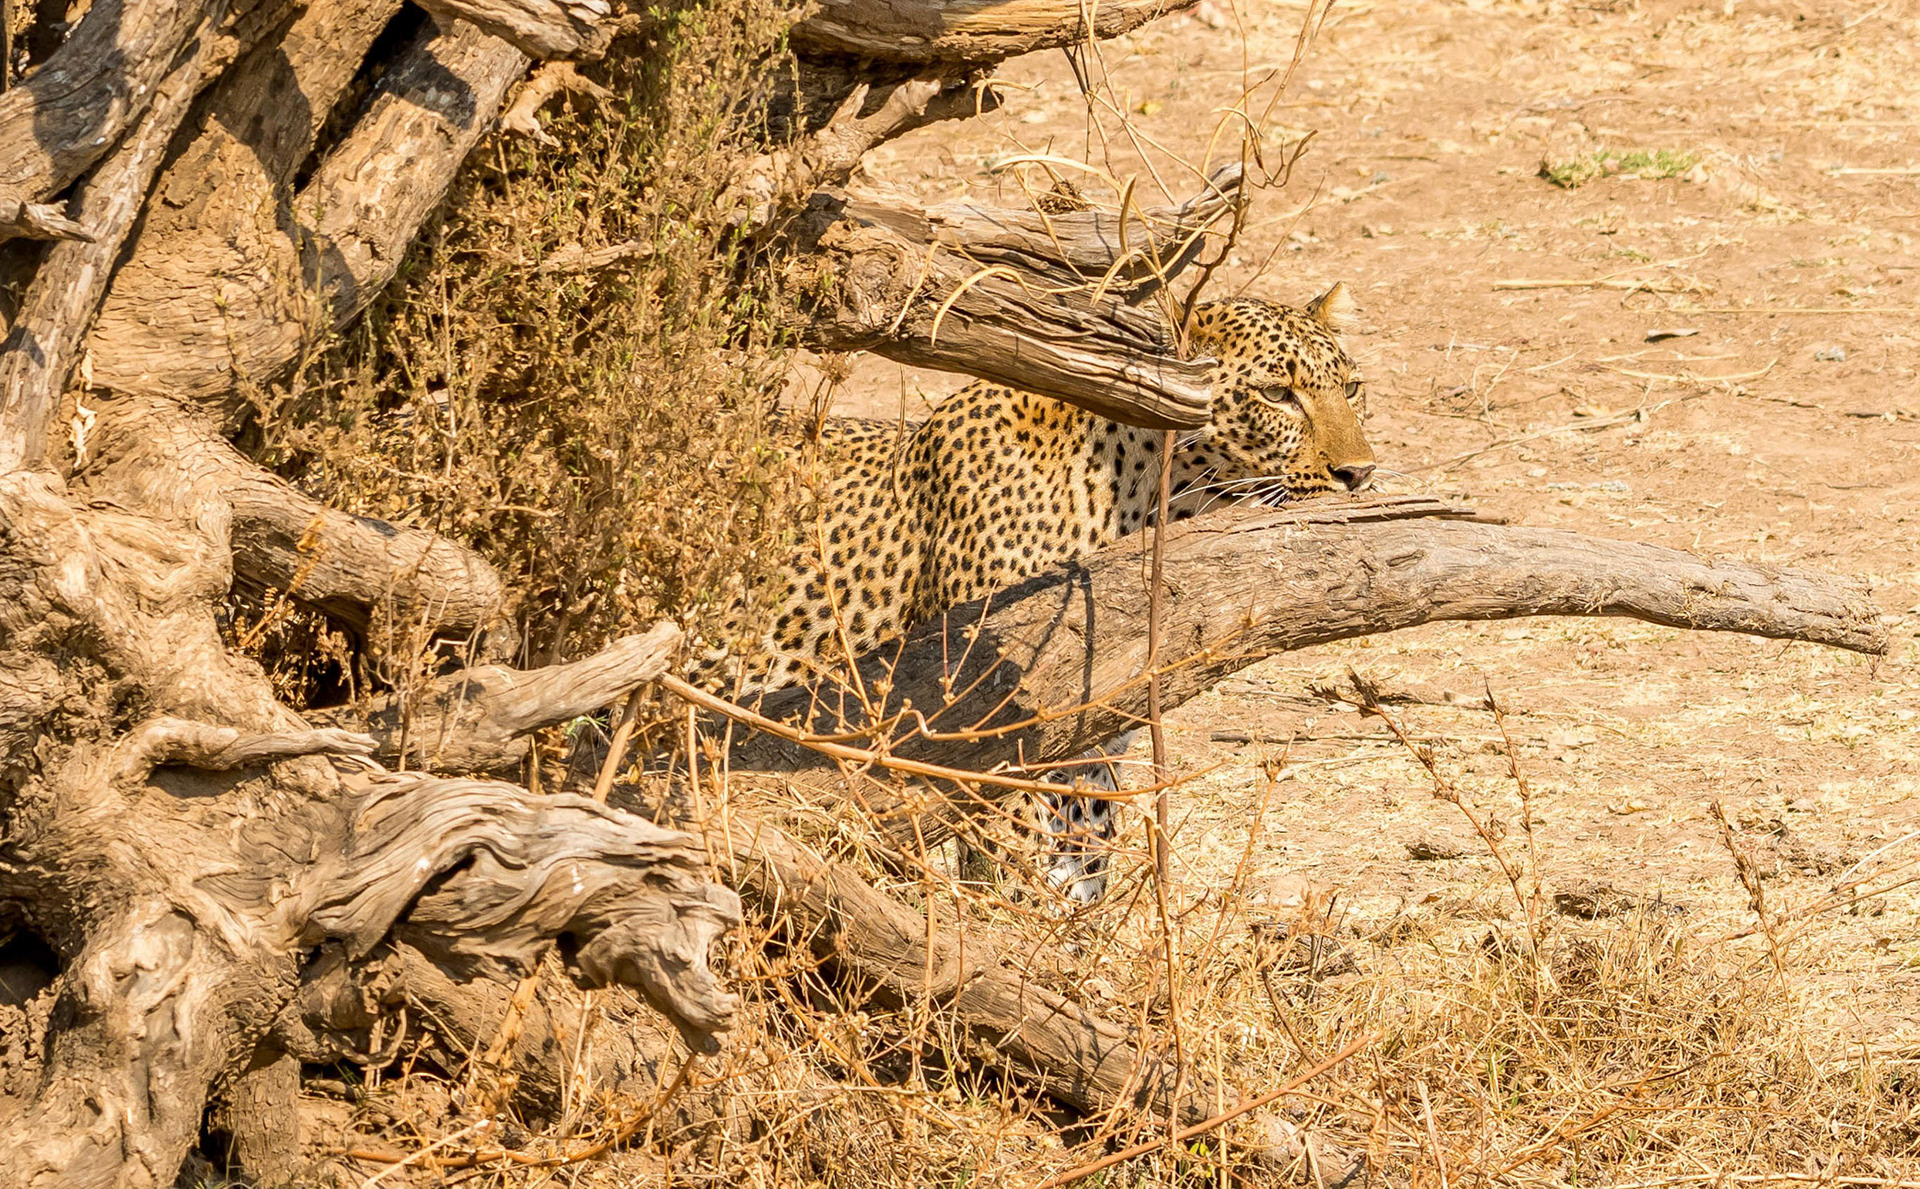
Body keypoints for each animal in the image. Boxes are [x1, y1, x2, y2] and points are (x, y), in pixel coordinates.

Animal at [699, 284, 1376, 902]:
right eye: (1276, 394)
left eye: (1351, 387)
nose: (1361, 472)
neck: (1147, 501)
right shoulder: (994, 733)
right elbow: (1015, 861)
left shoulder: (1095, 739)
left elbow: (1086, 861)